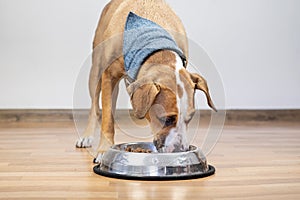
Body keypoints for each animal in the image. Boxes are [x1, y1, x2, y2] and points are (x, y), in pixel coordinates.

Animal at [75, 0, 216, 162]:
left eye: (190, 118)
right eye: (166, 119)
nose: (180, 151)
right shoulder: (108, 76)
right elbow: (107, 120)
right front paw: (104, 150)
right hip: (96, 70)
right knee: (95, 106)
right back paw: (87, 136)